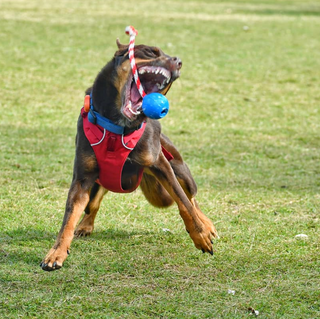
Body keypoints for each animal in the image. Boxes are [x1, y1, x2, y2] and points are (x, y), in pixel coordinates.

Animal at [40, 37, 218, 272]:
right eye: (150, 52)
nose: (178, 61)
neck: (117, 129)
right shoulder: (82, 179)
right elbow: (68, 219)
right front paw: (56, 253)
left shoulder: (161, 165)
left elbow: (184, 203)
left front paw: (201, 234)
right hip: (100, 181)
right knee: (92, 204)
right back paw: (85, 225)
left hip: (180, 169)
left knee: (191, 197)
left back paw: (207, 224)